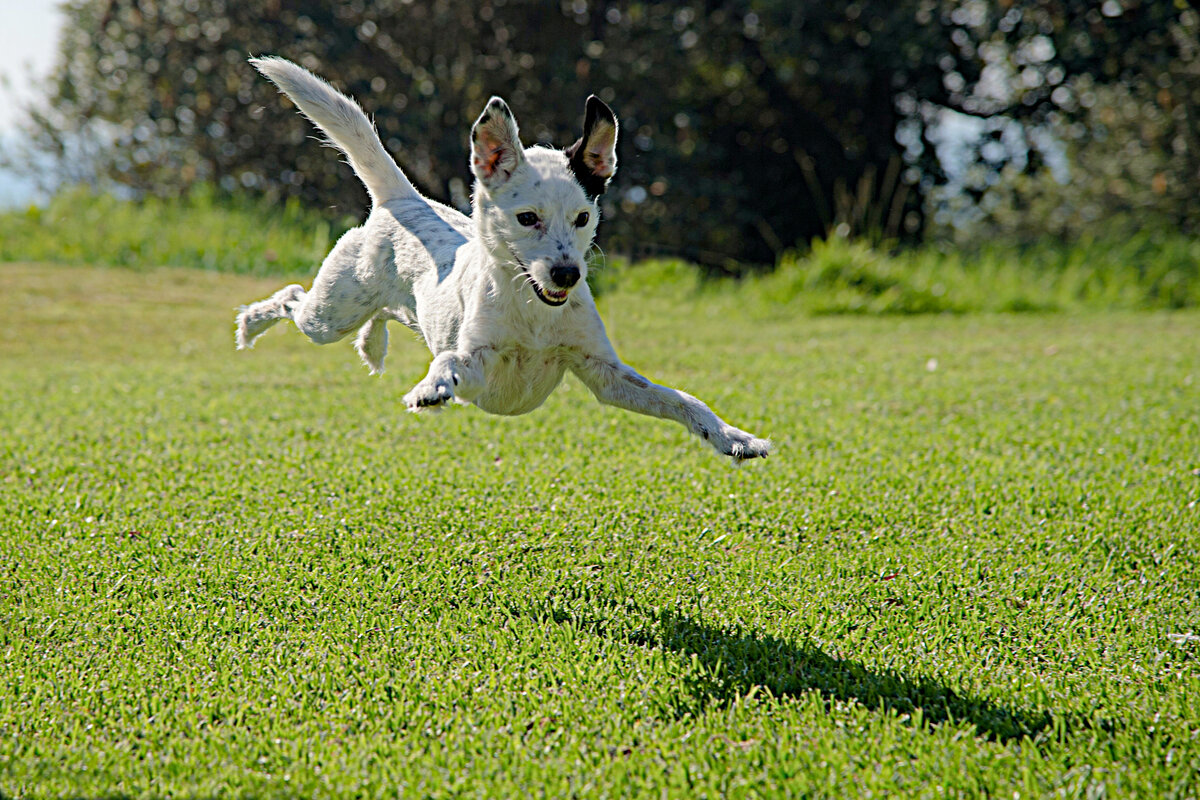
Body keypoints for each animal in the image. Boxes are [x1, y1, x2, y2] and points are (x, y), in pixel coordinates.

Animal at [238, 57, 772, 462]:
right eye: (527, 217)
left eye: (583, 217)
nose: (567, 274)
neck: (534, 312)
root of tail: (403, 199)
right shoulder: (479, 365)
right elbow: (450, 360)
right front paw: (431, 387)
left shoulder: (605, 374)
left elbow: (682, 399)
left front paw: (733, 437)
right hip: (330, 314)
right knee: (292, 298)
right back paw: (251, 325)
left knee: (380, 315)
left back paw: (372, 344)